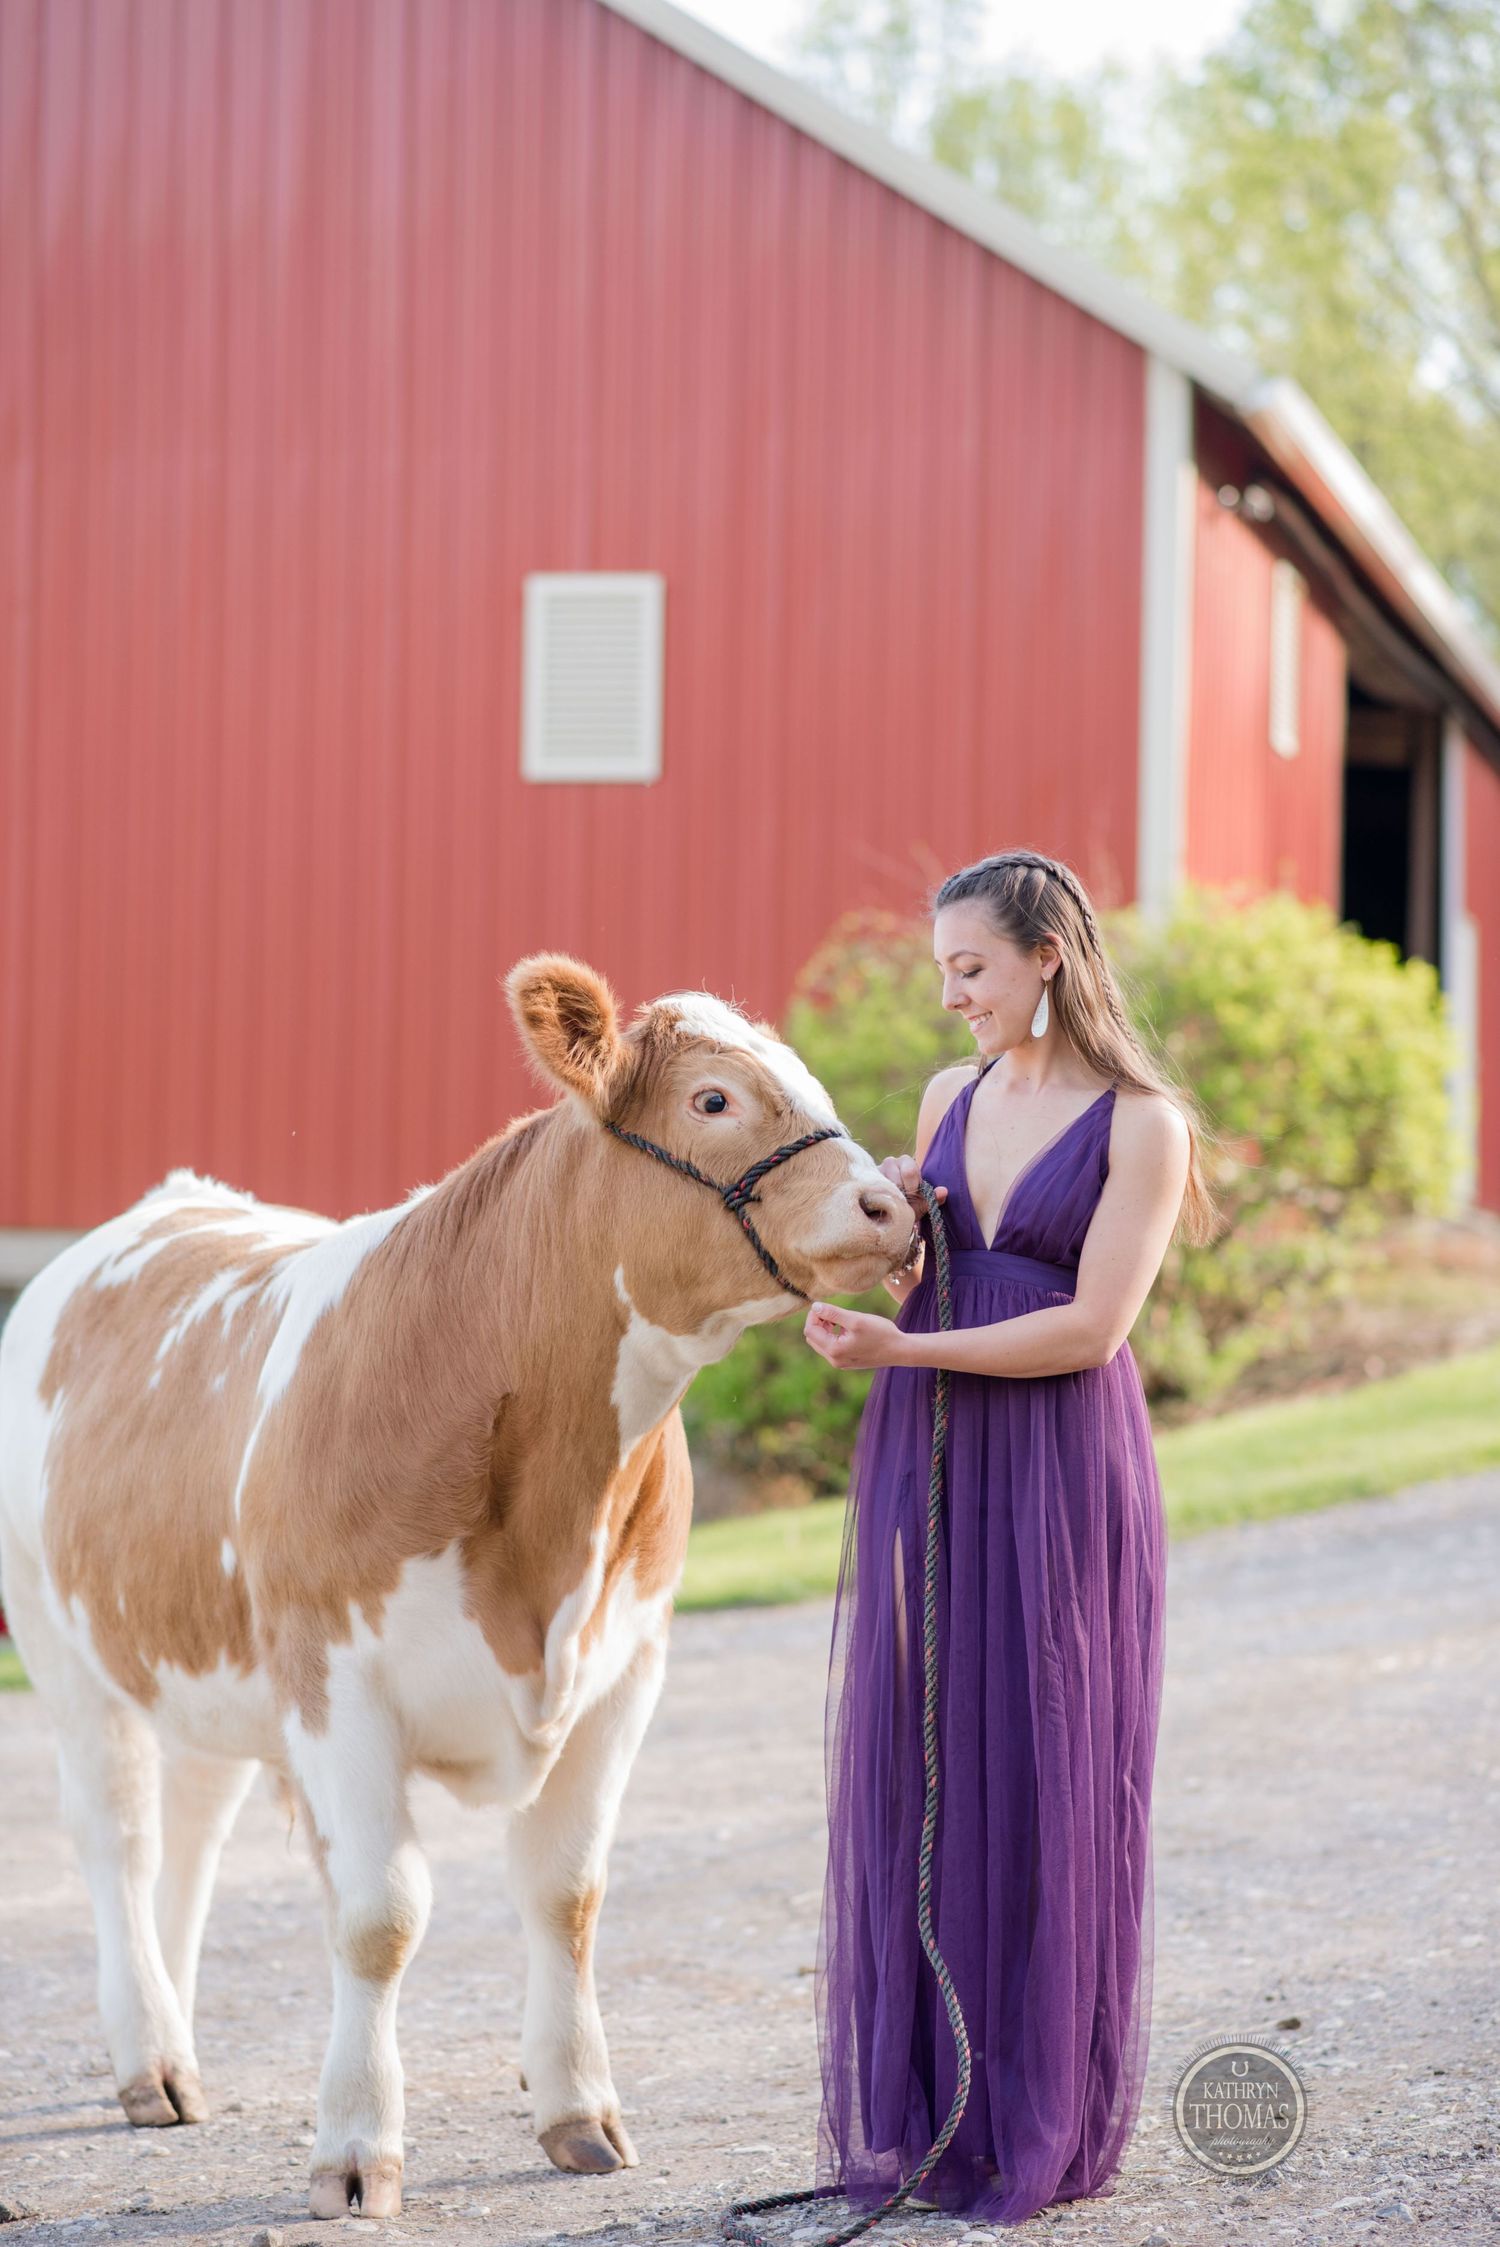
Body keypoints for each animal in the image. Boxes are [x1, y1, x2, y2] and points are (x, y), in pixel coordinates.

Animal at [0, 955, 914, 2219]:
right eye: (715, 1099)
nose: (896, 1209)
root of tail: (168, 1205)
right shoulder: (337, 1677)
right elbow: (379, 1917)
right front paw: (354, 2151)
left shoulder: (627, 1667)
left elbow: (566, 1895)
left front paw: (578, 2110)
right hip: (64, 1644)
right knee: (118, 1836)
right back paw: (147, 2058)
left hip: (205, 1653)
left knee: (192, 1826)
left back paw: (179, 2046)